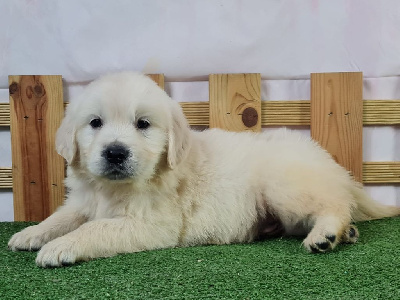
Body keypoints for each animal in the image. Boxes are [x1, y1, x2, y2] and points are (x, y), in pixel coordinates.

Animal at [7, 72, 400, 268]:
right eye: (95, 123)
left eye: (142, 124)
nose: (115, 152)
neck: (114, 188)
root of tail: (333, 166)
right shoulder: (84, 201)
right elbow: (62, 216)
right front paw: (32, 234)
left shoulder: (152, 223)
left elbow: (96, 228)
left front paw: (60, 247)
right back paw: (344, 233)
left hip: (284, 186)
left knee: (334, 204)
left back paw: (327, 234)